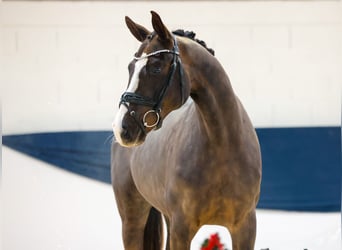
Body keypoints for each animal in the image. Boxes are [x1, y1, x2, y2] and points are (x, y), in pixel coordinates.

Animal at [111, 11, 260, 250]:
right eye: (130, 68)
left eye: (155, 67)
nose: (121, 128)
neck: (222, 146)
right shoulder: (182, 228)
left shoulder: (245, 228)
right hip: (132, 220)